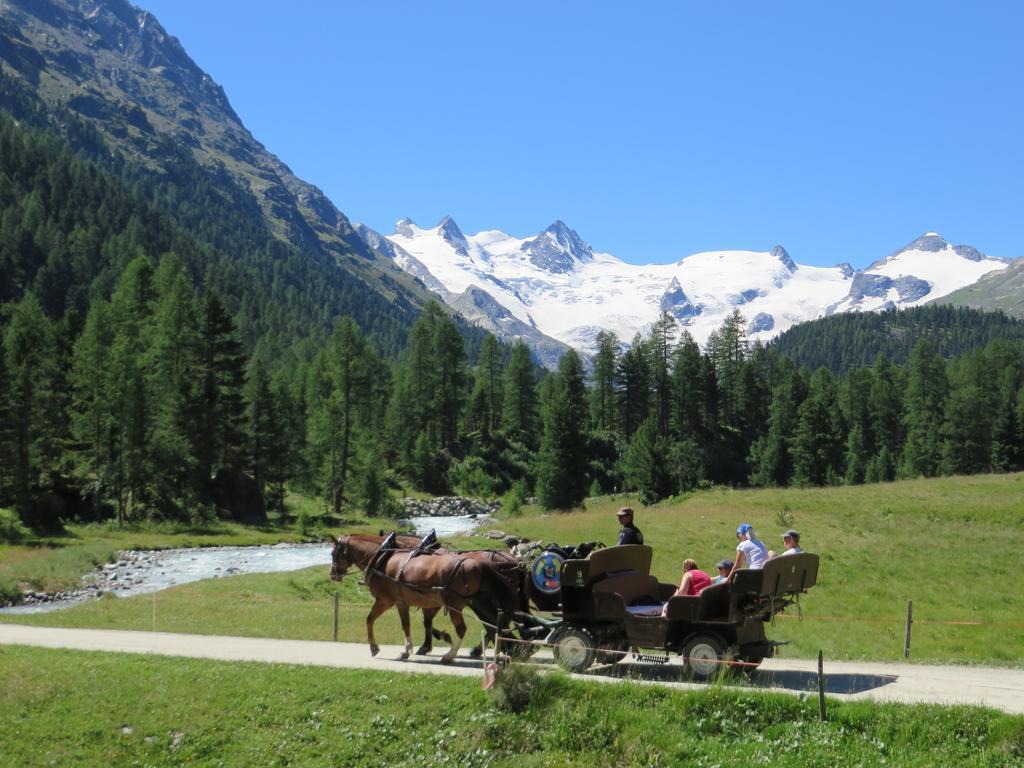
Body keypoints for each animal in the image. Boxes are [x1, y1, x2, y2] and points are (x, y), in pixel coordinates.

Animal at [329, 532, 520, 663]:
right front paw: (415, 647)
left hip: (457, 604)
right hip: (480, 601)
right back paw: (508, 648)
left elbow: (371, 620)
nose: (332, 575)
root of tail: (479, 563)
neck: (382, 557)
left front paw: (376, 648)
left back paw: (450, 655)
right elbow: (412, 624)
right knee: (496, 623)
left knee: (463, 629)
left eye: (333, 553)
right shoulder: (407, 602)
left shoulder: (386, 600)